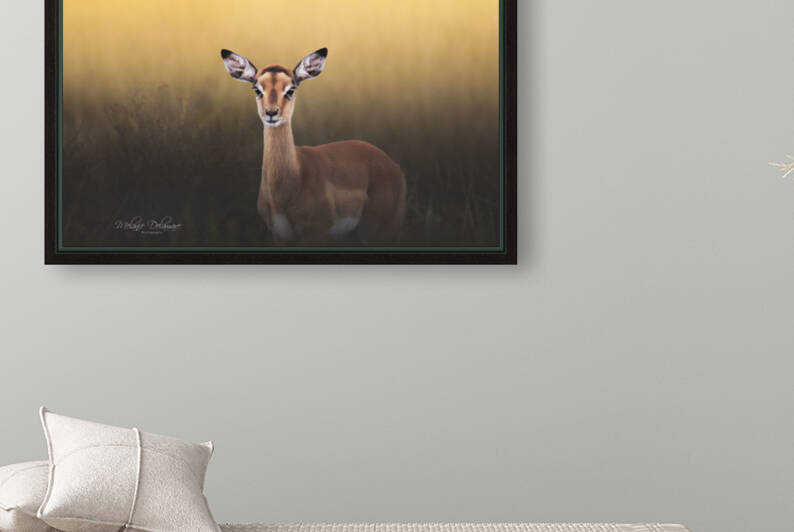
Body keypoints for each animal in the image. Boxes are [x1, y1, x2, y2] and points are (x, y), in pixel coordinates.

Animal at [221, 48, 406, 244]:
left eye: (291, 89)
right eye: (257, 89)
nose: (271, 112)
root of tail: (395, 167)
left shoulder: (316, 234)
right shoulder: (279, 236)